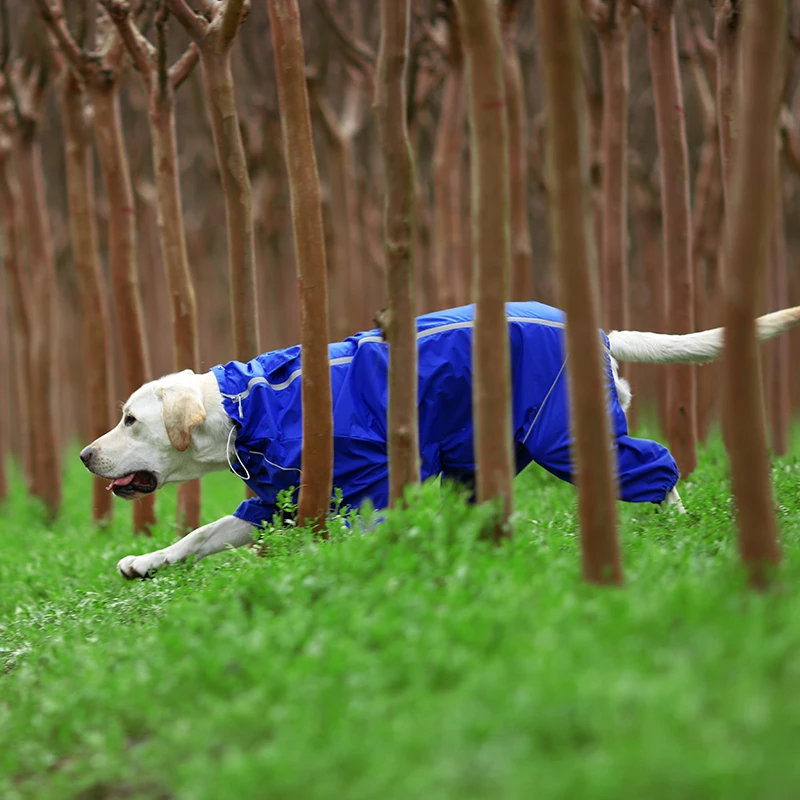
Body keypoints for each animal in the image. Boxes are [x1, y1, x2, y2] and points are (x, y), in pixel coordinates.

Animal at [79, 304, 800, 580]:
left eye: (130, 420)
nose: (84, 455)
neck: (244, 403)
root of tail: (597, 329)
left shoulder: (369, 486)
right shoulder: (268, 503)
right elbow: (200, 535)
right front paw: (146, 562)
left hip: (563, 435)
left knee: (659, 467)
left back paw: (676, 527)